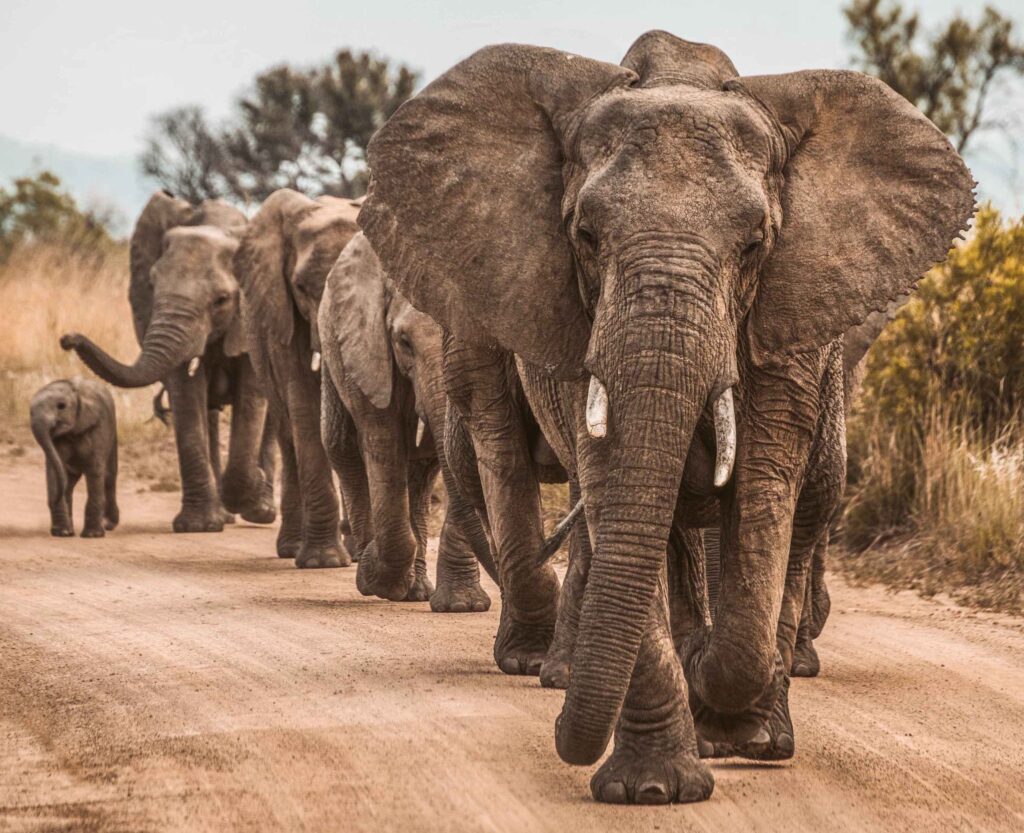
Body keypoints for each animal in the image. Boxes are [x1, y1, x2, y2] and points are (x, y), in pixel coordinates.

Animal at [30, 378, 119, 538]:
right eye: (30, 411)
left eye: (61, 406)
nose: (52, 500)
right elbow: (55, 468)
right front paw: (62, 533)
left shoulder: (99, 426)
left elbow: (95, 469)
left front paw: (92, 535)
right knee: (69, 482)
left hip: (113, 433)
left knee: (109, 476)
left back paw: (108, 525)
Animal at [61, 191, 276, 533]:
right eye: (151, 286)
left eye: (221, 300)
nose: (67, 338)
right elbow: (186, 395)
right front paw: (198, 526)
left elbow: (252, 397)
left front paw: (251, 487)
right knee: (209, 413)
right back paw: (226, 513)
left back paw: (261, 511)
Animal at [233, 188, 363, 568]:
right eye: (302, 287)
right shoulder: (282, 313)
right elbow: (304, 404)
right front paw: (324, 562)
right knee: (288, 434)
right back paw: (293, 548)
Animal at [317, 231, 494, 609]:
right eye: (404, 342)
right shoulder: (368, 348)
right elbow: (383, 442)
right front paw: (373, 576)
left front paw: (463, 607)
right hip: (333, 347)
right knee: (343, 449)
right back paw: (370, 567)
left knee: (423, 471)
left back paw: (416, 591)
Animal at [358, 31, 974, 804]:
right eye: (585, 236)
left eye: (755, 244)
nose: (560, 732)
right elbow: (615, 491)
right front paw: (654, 788)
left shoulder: (788, 322)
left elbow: (764, 495)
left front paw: (732, 717)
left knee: (797, 512)